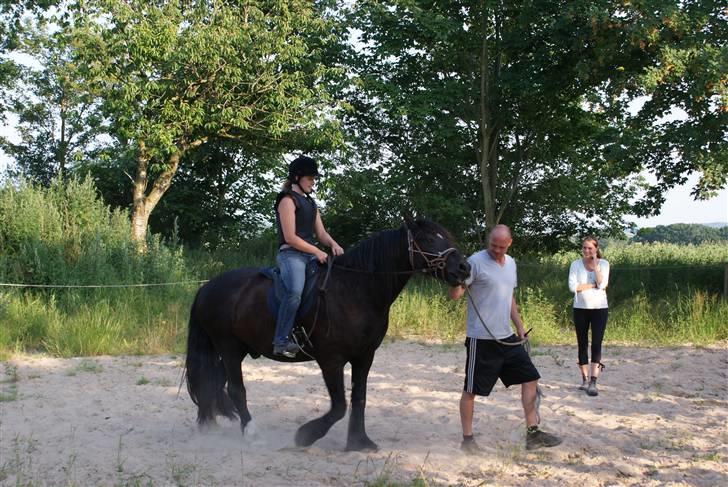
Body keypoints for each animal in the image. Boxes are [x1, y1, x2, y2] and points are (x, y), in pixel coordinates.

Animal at [185, 219, 470, 452]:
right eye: (429, 239)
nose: (464, 268)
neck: (356, 290)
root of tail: (207, 287)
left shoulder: (364, 356)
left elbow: (359, 398)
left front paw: (359, 442)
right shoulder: (331, 359)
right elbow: (339, 406)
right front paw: (305, 435)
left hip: (236, 349)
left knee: (213, 382)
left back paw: (208, 425)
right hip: (228, 348)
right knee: (236, 389)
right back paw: (252, 435)